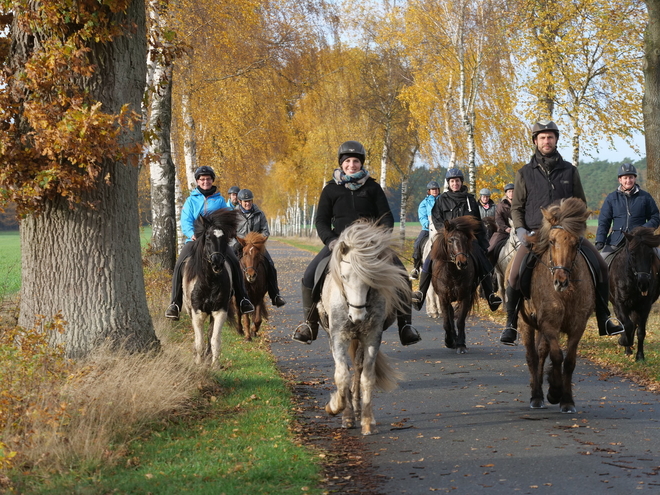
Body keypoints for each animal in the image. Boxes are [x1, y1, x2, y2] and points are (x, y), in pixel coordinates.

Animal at [182, 207, 238, 366]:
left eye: (224, 238)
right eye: (207, 237)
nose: (216, 263)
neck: (209, 281)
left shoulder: (220, 311)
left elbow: (214, 339)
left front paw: (214, 365)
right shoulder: (197, 312)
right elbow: (199, 341)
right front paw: (198, 363)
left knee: (210, 333)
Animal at [318, 220, 410, 434]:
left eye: (371, 278)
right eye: (343, 277)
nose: (358, 317)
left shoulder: (372, 338)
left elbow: (366, 377)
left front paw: (367, 421)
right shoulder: (338, 337)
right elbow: (342, 375)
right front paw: (336, 408)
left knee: (358, 369)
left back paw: (359, 410)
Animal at [428, 215, 480, 354]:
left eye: (465, 239)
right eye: (450, 240)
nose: (462, 263)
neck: (453, 274)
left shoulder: (465, 297)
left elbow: (460, 321)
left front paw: (461, 344)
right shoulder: (443, 298)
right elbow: (447, 322)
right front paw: (449, 341)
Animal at [520, 199, 596, 414]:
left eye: (576, 242)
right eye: (552, 241)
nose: (560, 281)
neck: (567, 294)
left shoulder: (578, 326)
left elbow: (569, 361)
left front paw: (567, 400)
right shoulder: (550, 324)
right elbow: (556, 356)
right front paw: (554, 390)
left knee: (540, 353)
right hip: (525, 323)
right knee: (532, 356)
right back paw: (536, 396)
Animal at [608, 228, 660, 360]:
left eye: (650, 255)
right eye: (632, 254)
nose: (643, 283)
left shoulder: (645, 306)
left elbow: (640, 331)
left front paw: (640, 356)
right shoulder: (620, 303)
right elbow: (626, 324)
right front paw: (623, 341)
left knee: (634, 324)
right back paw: (627, 347)